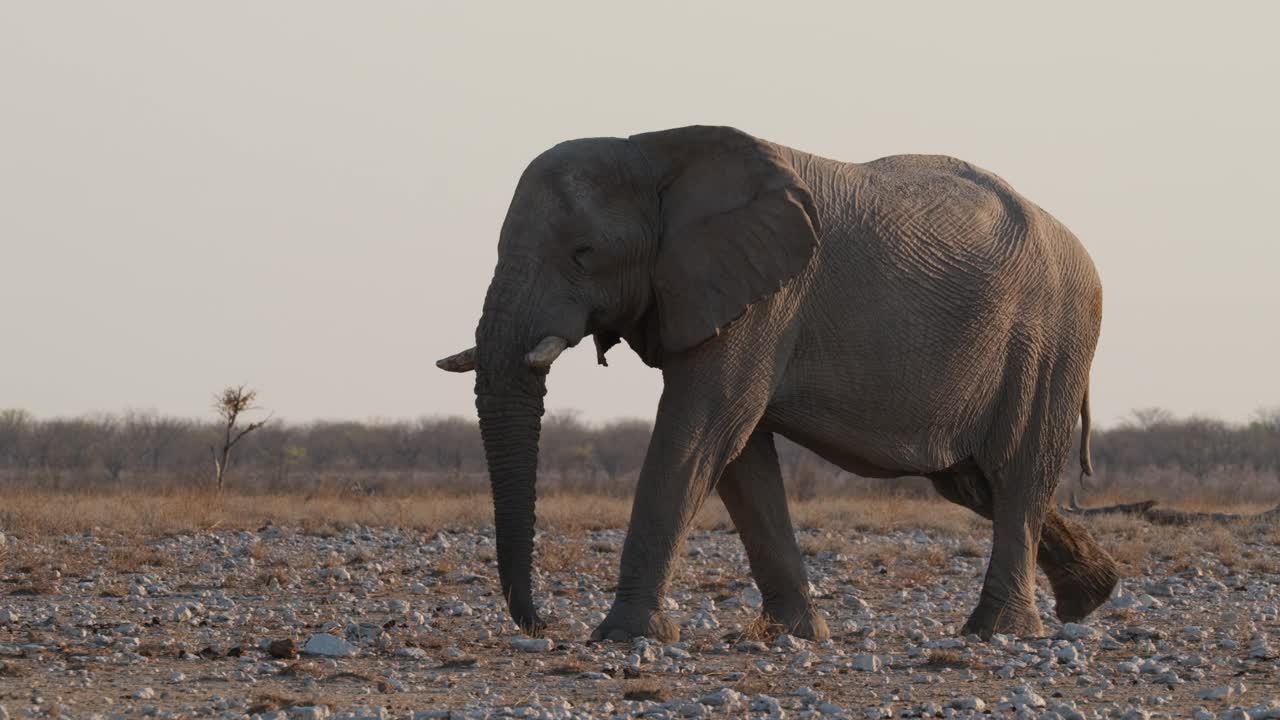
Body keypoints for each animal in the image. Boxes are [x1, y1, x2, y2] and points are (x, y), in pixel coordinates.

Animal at [440, 122, 1121, 638]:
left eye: (583, 255)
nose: (544, 625)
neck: (655, 151)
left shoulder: (769, 296)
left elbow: (701, 429)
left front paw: (624, 637)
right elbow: (740, 456)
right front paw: (798, 634)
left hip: (1049, 339)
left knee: (1016, 473)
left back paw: (997, 631)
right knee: (973, 483)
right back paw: (1089, 599)